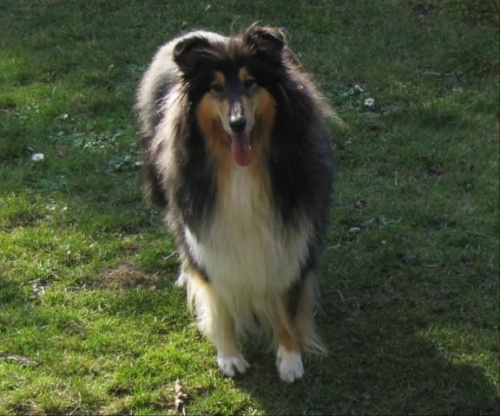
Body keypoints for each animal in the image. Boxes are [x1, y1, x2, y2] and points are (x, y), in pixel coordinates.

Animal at [135, 25, 334, 384]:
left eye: (250, 81)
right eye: (215, 87)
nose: (238, 124)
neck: (240, 169)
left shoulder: (288, 236)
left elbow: (284, 302)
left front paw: (289, 357)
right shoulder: (208, 232)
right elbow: (219, 302)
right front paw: (229, 356)